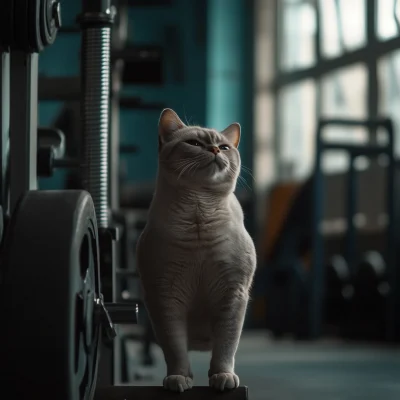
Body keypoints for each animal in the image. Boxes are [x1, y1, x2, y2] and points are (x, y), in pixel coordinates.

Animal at [137, 108, 256, 392]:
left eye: (224, 147)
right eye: (194, 143)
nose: (214, 150)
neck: (199, 210)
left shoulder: (232, 294)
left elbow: (225, 347)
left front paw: (222, 378)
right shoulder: (166, 296)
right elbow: (176, 349)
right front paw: (178, 380)